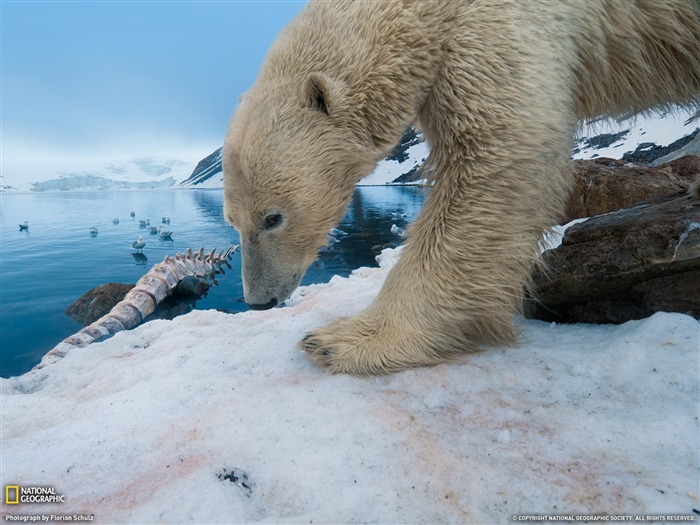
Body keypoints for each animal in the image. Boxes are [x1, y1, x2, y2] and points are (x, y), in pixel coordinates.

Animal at [223, 2, 700, 374]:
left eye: (273, 218)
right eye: (233, 221)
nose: (259, 302)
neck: (423, 10)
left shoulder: (498, 24)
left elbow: (496, 154)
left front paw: (344, 340)